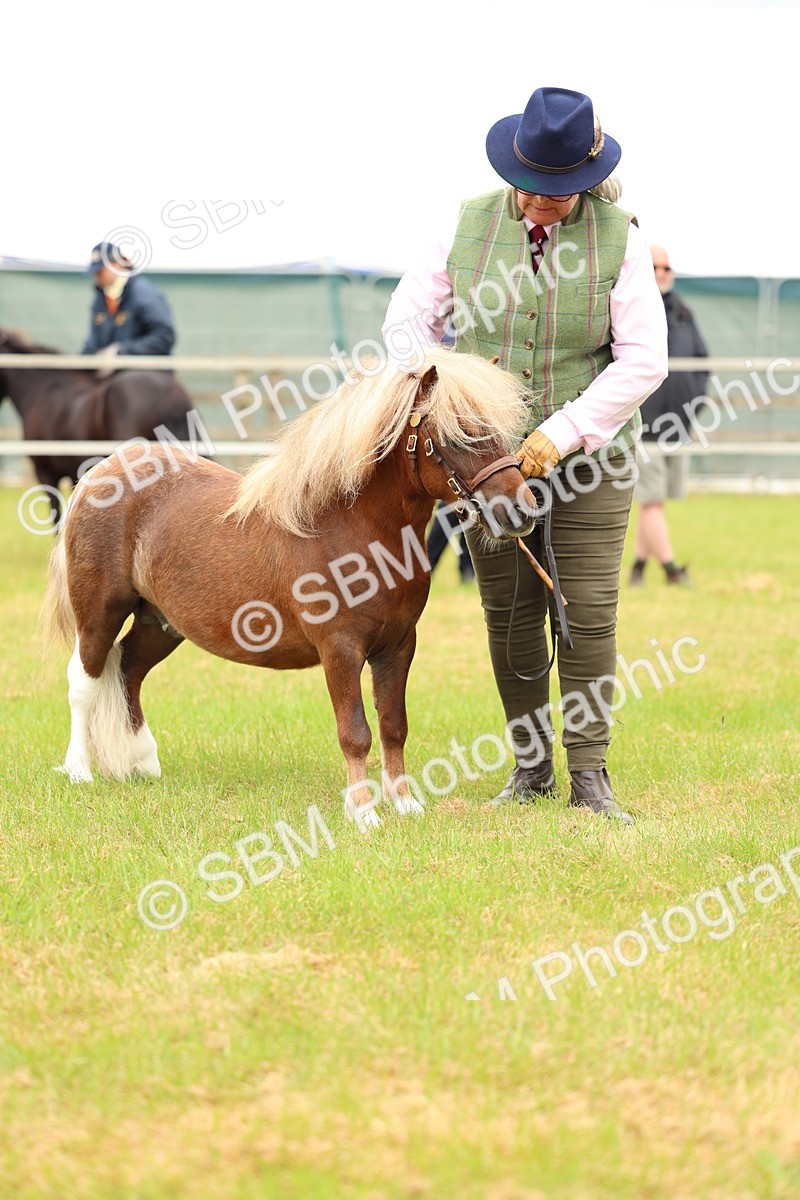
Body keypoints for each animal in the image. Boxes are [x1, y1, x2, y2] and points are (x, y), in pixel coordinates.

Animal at [43, 346, 537, 827]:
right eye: (460, 435)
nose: (522, 511)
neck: (352, 528)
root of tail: (101, 474)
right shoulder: (340, 649)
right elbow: (355, 732)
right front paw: (364, 812)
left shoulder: (398, 645)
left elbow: (394, 725)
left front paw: (404, 804)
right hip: (100, 613)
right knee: (84, 681)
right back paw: (79, 770)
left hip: (160, 622)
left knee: (128, 672)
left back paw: (142, 764)